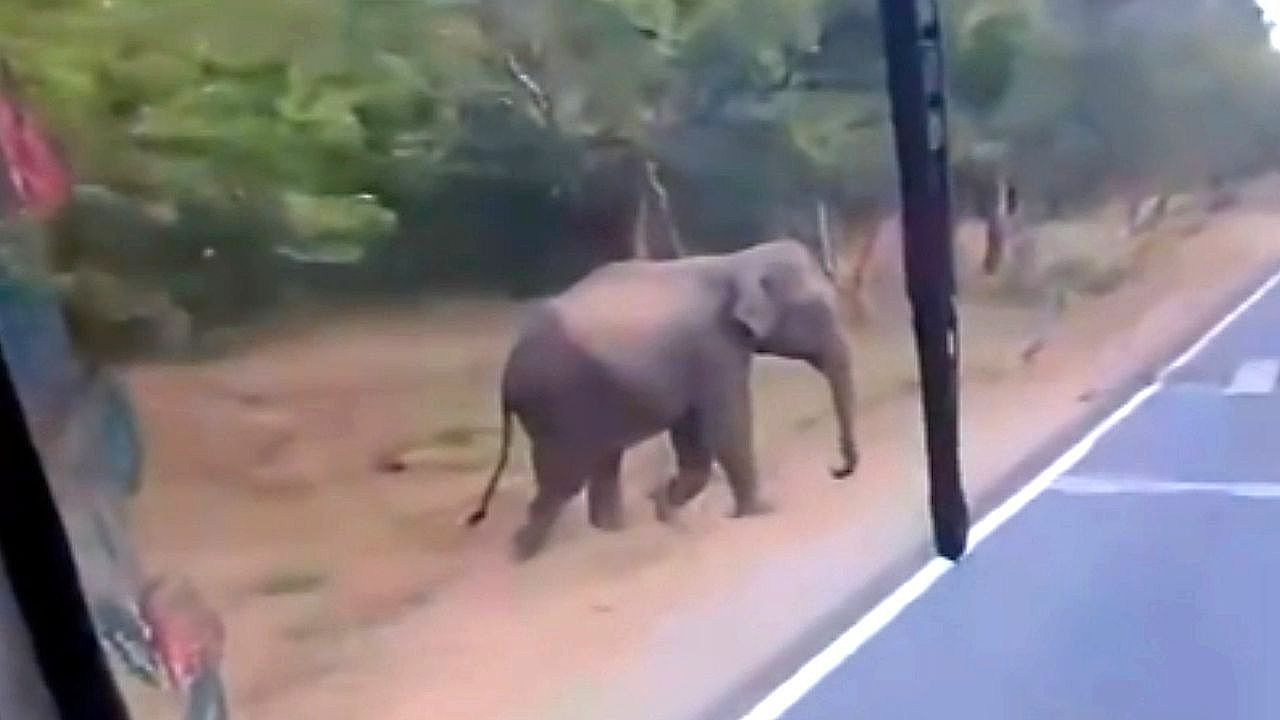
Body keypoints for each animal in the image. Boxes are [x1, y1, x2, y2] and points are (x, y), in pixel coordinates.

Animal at [467, 238, 858, 560]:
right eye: (819, 310)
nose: (836, 470)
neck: (737, 260)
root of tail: (508, 372)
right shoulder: (714, 349)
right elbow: (727, 426)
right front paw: (761, 512)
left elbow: (692, 434)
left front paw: (664, 508)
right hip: (560, 404)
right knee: (563, 479)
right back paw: (524, 554)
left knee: (602, 462)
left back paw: (611, 534)